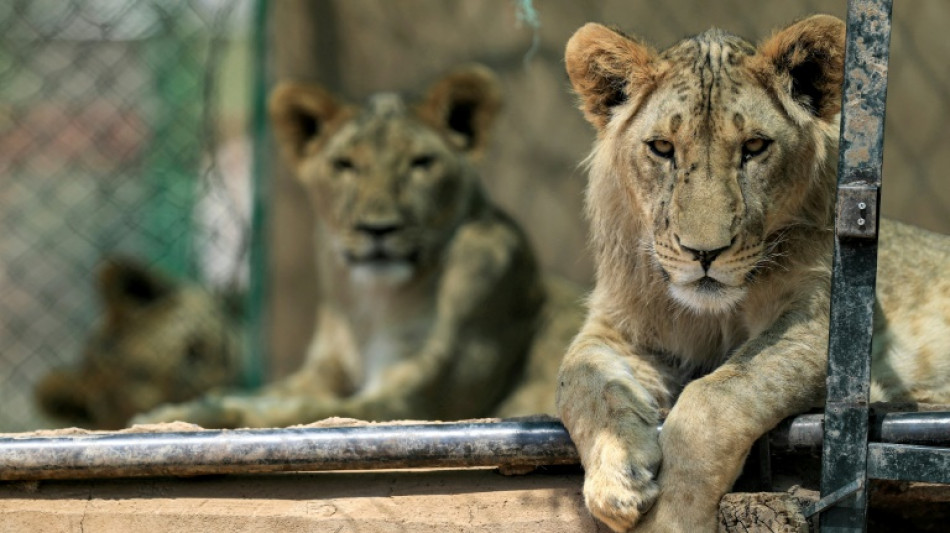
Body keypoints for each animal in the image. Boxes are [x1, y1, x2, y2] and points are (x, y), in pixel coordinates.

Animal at [556, 13, 950, 532]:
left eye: (755, 147)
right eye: (662, 147)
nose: (704, 252)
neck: (712, 315)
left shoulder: (828, 326)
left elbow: (716, 397)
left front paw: (673, 518)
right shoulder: (619, 326)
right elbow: (577, 378)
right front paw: (617, 478)